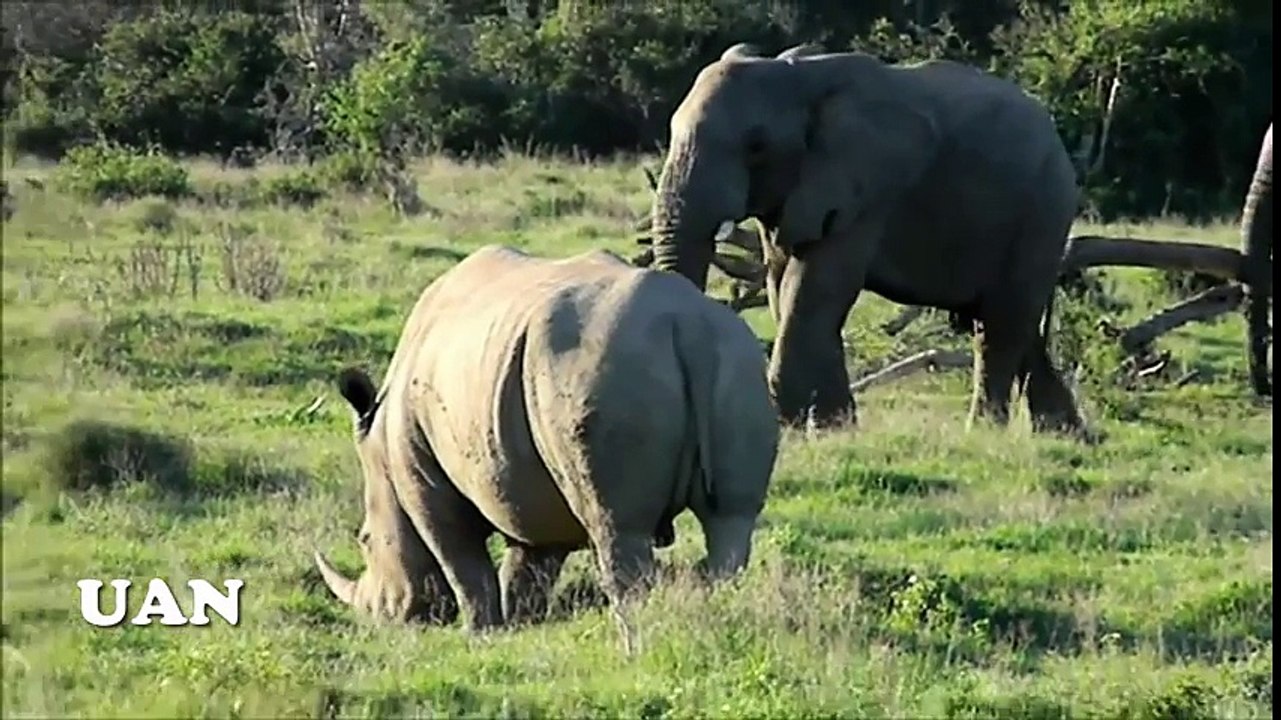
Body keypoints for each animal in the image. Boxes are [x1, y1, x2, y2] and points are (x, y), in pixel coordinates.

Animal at [313, 245, 779, 637]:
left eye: (364, 540)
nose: (383, 618)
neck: (379, 441)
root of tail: (684, 323)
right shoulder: (527, 478)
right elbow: (531, 562)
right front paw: (522, 623)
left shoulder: (422, 476)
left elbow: (460, 558)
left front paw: (481, 633)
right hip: (736, 361)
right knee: (730, 520)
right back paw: (718, 615)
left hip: (600, 369)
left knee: (618, 529)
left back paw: (634, 641)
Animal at [649, 42, 1088, 437]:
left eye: (756, 146)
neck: (795, 77)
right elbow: (781, 284)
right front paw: (835, 427)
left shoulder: (868, 187)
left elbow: (814, 287)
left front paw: (789, 426)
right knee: (1015, 324)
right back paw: (1064, 433)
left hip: (1043, 210)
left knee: (1002, 322)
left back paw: (985, 431)